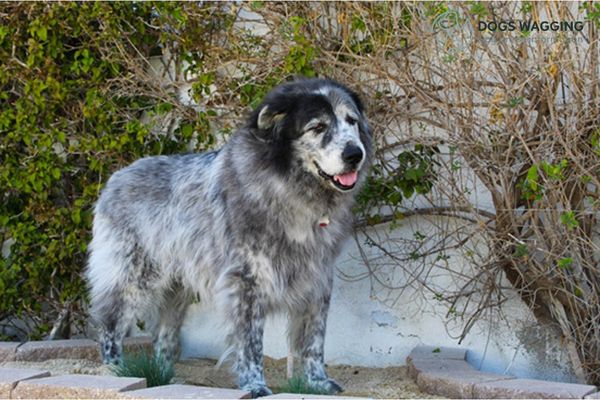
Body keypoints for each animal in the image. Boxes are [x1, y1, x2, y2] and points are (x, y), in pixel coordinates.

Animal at [86, 76, 372, 396]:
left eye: (351, 121)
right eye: (318, 127)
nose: (354, 154)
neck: (289, 188)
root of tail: (116, 178)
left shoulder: (317, 279)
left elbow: (313, 339)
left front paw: (317, 382)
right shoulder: (246, 281)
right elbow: (251, 343)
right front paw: (255, 386)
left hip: (176, 292)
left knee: (164, 337)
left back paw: (164, 377)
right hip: (132, 278)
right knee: (110, 324)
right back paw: (115, 372)